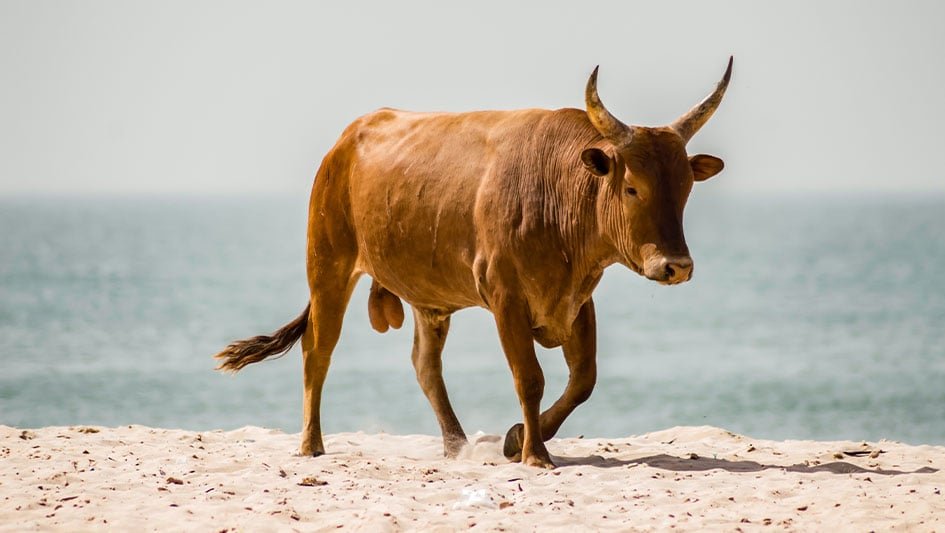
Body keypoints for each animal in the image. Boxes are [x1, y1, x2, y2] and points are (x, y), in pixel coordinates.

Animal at [214, 58, 733, 469]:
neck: (557, 190)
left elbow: (583, 380)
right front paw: (535, 454)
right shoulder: (506, 298)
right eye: (631, 188)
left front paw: (518, 438)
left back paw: (455, 445)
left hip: (427, 300)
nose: (676, 266)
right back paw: (311, 443)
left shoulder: (578, 300)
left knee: (426, 366)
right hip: (328, 266)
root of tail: (346, 140)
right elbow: (530, 378)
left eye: (685, 188)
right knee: (317, 350)